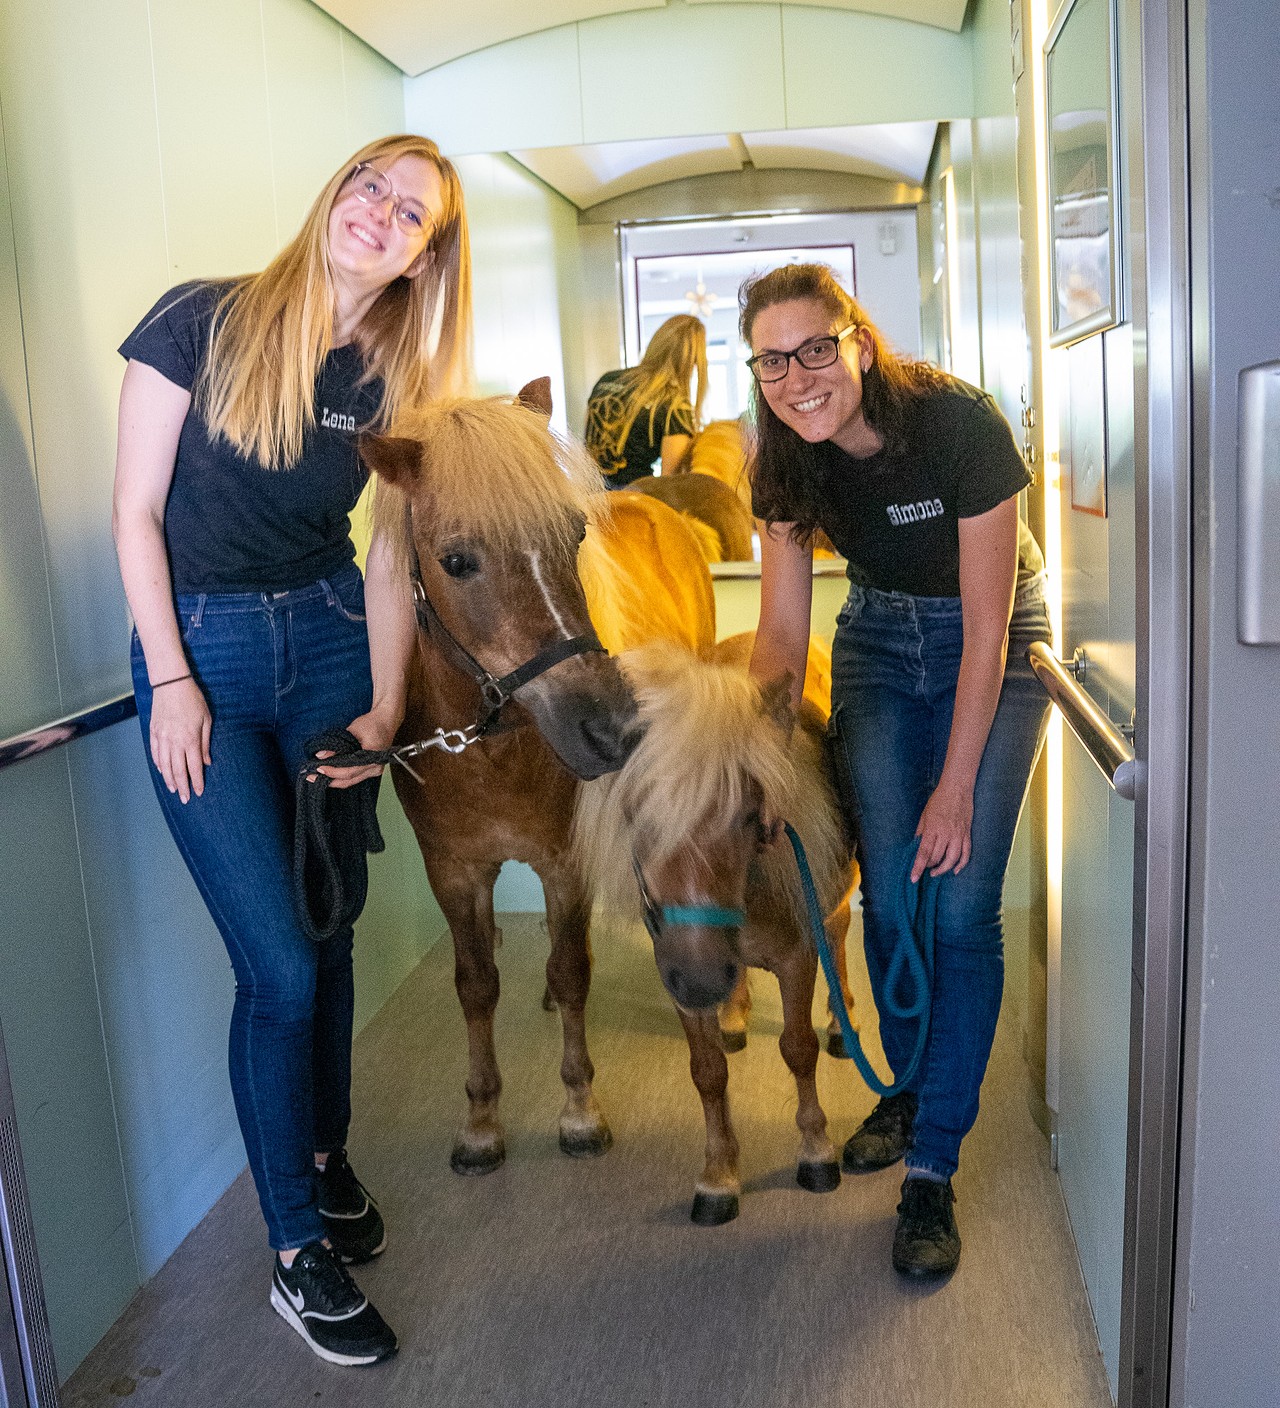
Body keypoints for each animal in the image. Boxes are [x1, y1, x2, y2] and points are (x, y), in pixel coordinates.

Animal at [363, 394, 715, 1177]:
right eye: (457, 561)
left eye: (574, 534)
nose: (611, 728)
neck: (486, 746)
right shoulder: (453, 871)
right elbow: (475, 984)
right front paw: (481, 1121)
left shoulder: (564, 865)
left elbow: (572, 968)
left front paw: (580, 1108)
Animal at [577, 639, 861, 1222]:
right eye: (637, 816)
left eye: (747, 814)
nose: (704, 978)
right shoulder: (678, 977)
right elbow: (707, 1073)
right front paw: (719, 1173)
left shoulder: (798, 959)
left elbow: (798, 1049)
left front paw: (816, 1150)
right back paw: (734, 1012)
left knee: (840, 931)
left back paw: (839, 1019)